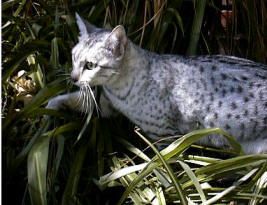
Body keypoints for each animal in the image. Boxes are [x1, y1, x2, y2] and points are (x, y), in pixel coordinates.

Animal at [47, 12, 266, 154]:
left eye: (90, 65)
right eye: (73, 57)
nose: (73, 78)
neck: (118, 91)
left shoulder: (166, 136)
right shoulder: (107, 104)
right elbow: (73, 99)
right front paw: (50, 106)